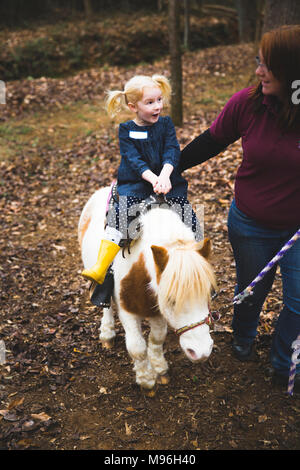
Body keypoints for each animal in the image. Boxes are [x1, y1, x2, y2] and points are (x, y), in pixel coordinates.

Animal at [78, 187, 217, 392]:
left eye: (207, 296)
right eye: (172, 300)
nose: (201, 352)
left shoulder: (156, 312)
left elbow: (157, 338)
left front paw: (160, 369)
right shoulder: (127, 312)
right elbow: (137, 347)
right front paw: (146, 379)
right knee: (106, 304)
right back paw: (107, 333)